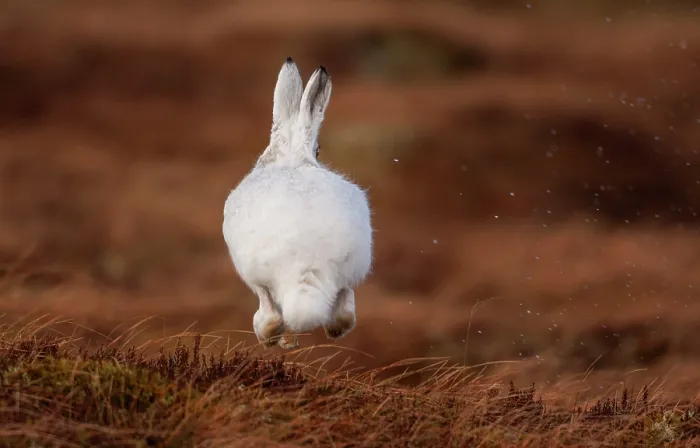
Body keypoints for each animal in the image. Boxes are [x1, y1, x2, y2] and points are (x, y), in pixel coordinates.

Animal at [222, 57, 373, 349]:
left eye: (318, 150)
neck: (291, 157)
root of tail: (308, 264)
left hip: (256, 272)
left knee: (271, 314)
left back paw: (272, 337)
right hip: (352, 266)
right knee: (345, 311)